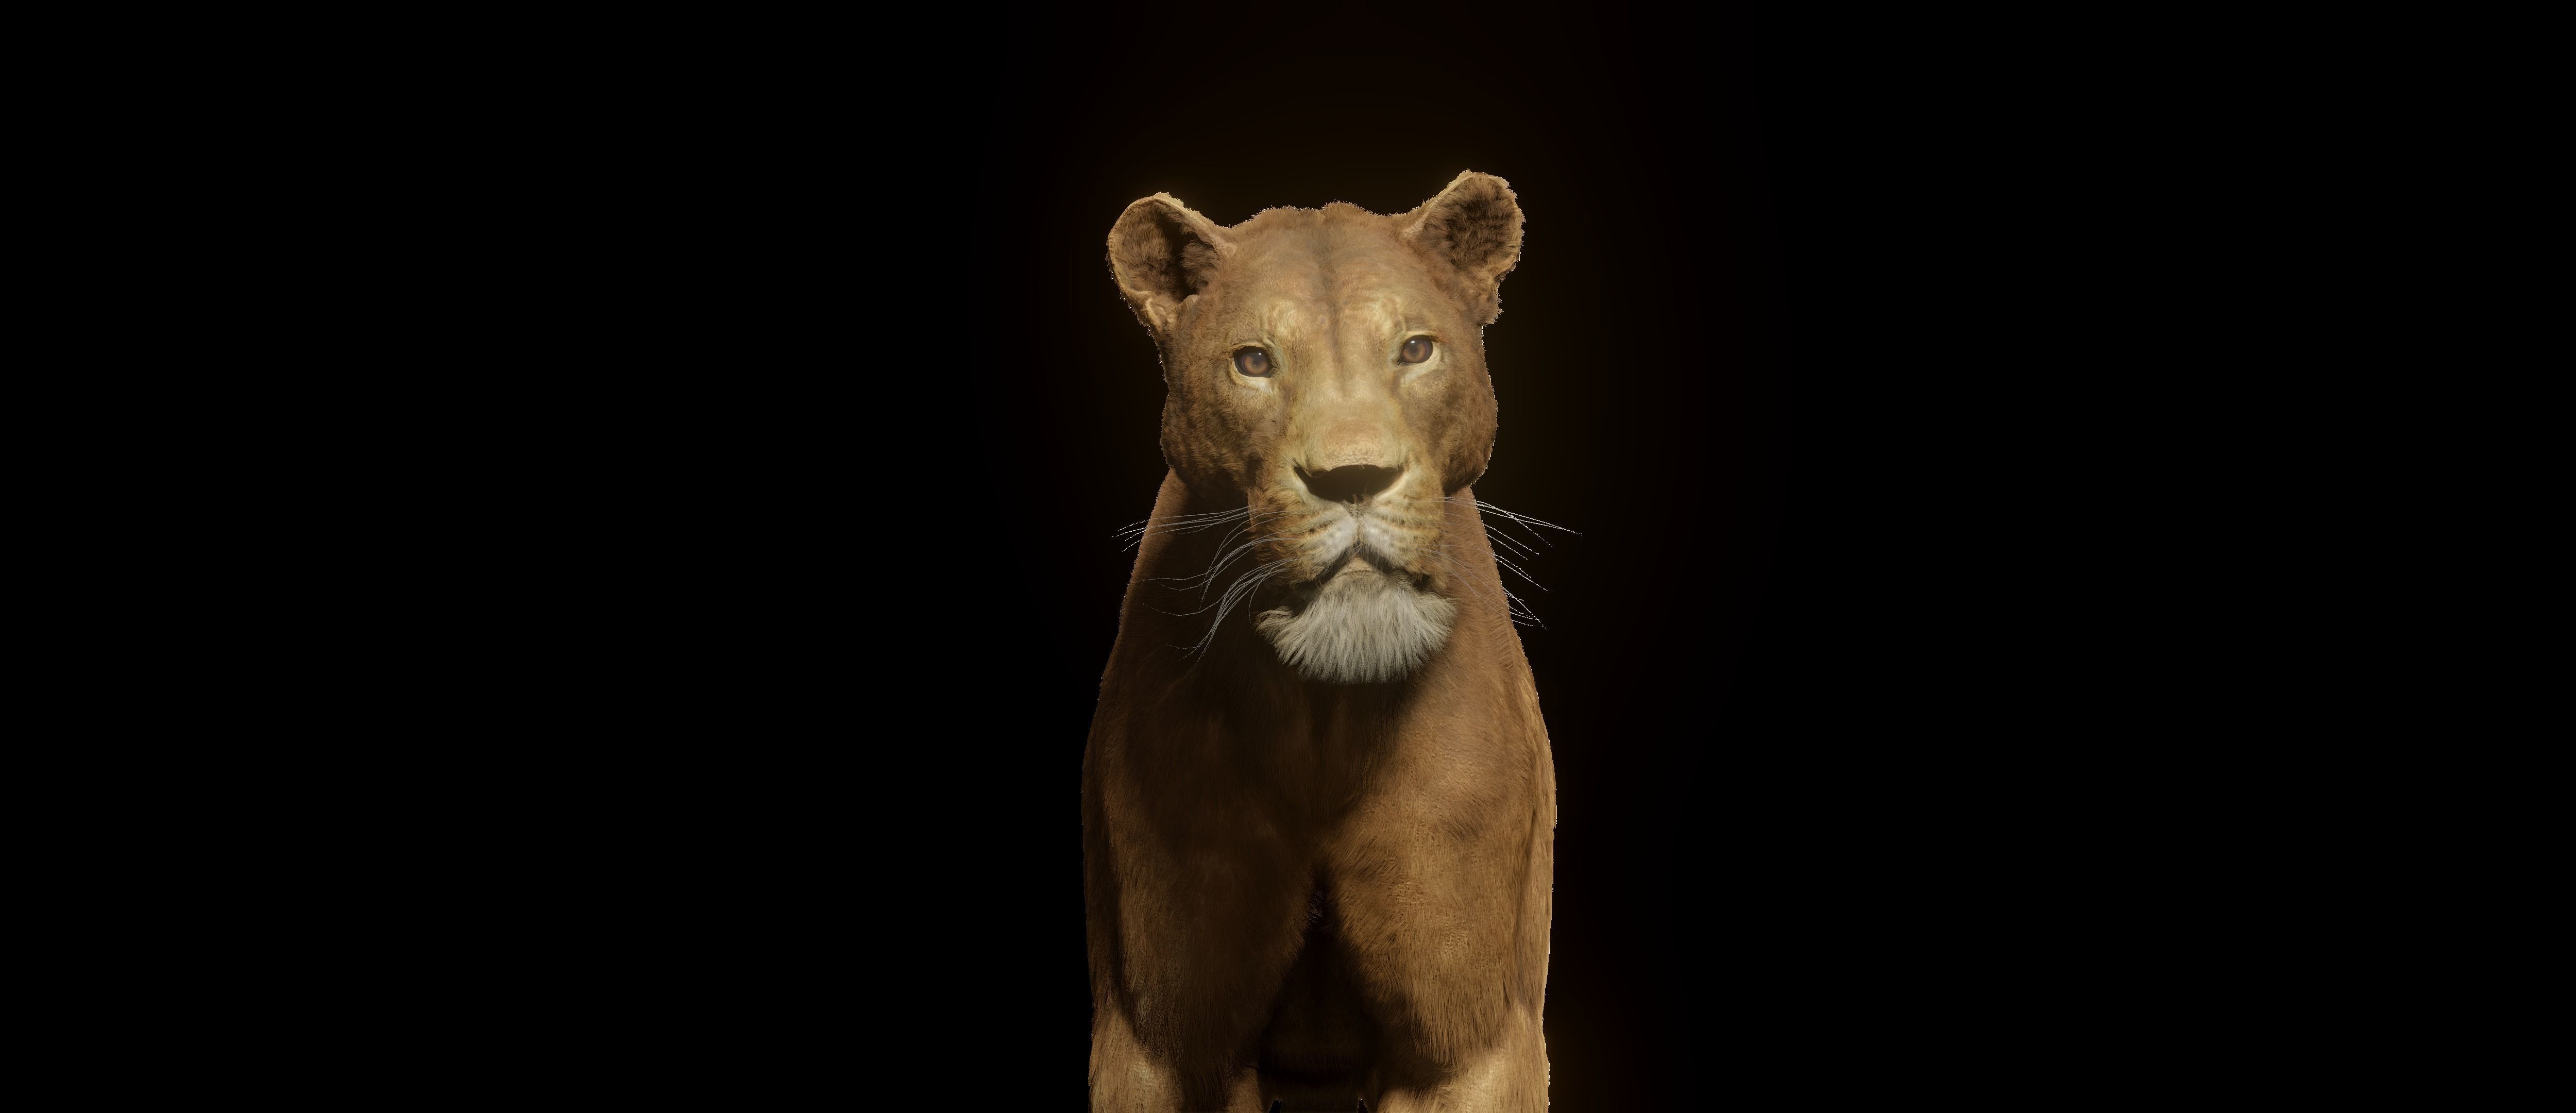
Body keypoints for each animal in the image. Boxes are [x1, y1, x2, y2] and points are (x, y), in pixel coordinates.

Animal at [1083, 172, 1557, 1112]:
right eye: (1255, 362)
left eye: (1416, 349)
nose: (1353, 478)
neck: (1323, 720)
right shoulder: (1158, 1043)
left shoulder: (1471, 1046)